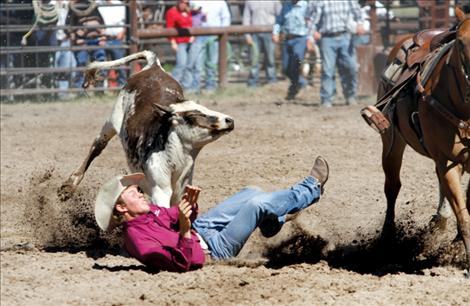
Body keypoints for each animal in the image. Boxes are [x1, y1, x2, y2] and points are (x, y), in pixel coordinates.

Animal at [370, 6, 470, 274]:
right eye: (461, 43)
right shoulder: (447, 160)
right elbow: (464, 216)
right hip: (392, 141)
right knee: (392, 187)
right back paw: (388, 238)